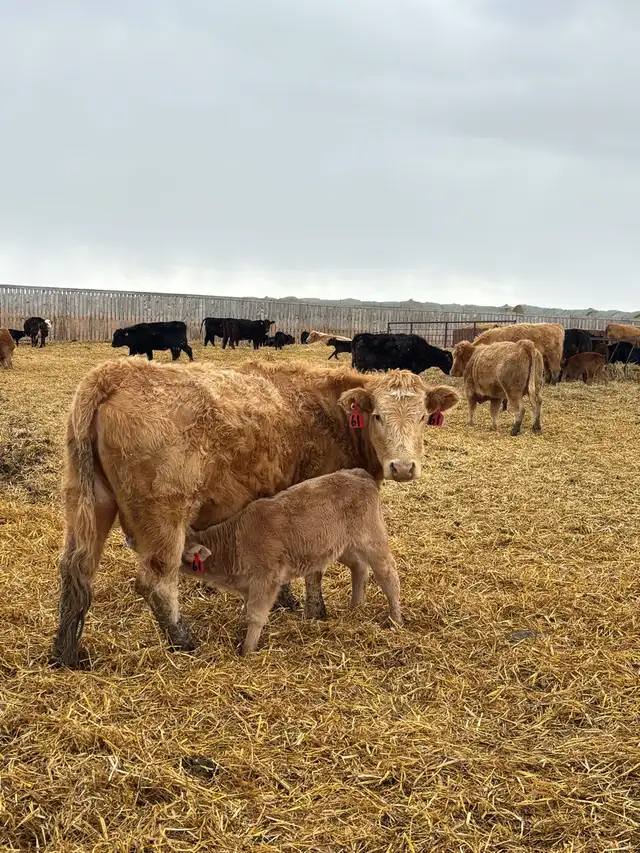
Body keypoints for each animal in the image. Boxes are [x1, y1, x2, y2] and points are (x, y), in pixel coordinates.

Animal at [181, 469, 401, 655]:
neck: (234, 543)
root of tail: (358, 473)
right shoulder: (248, 586)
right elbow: (246, 611)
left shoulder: (266, 580)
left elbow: (256, 616)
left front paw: (247, 651)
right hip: (342, 546)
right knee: (359, 568)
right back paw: (355, 607)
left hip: (373, 540)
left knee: (389, 576)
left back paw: (395, 619)